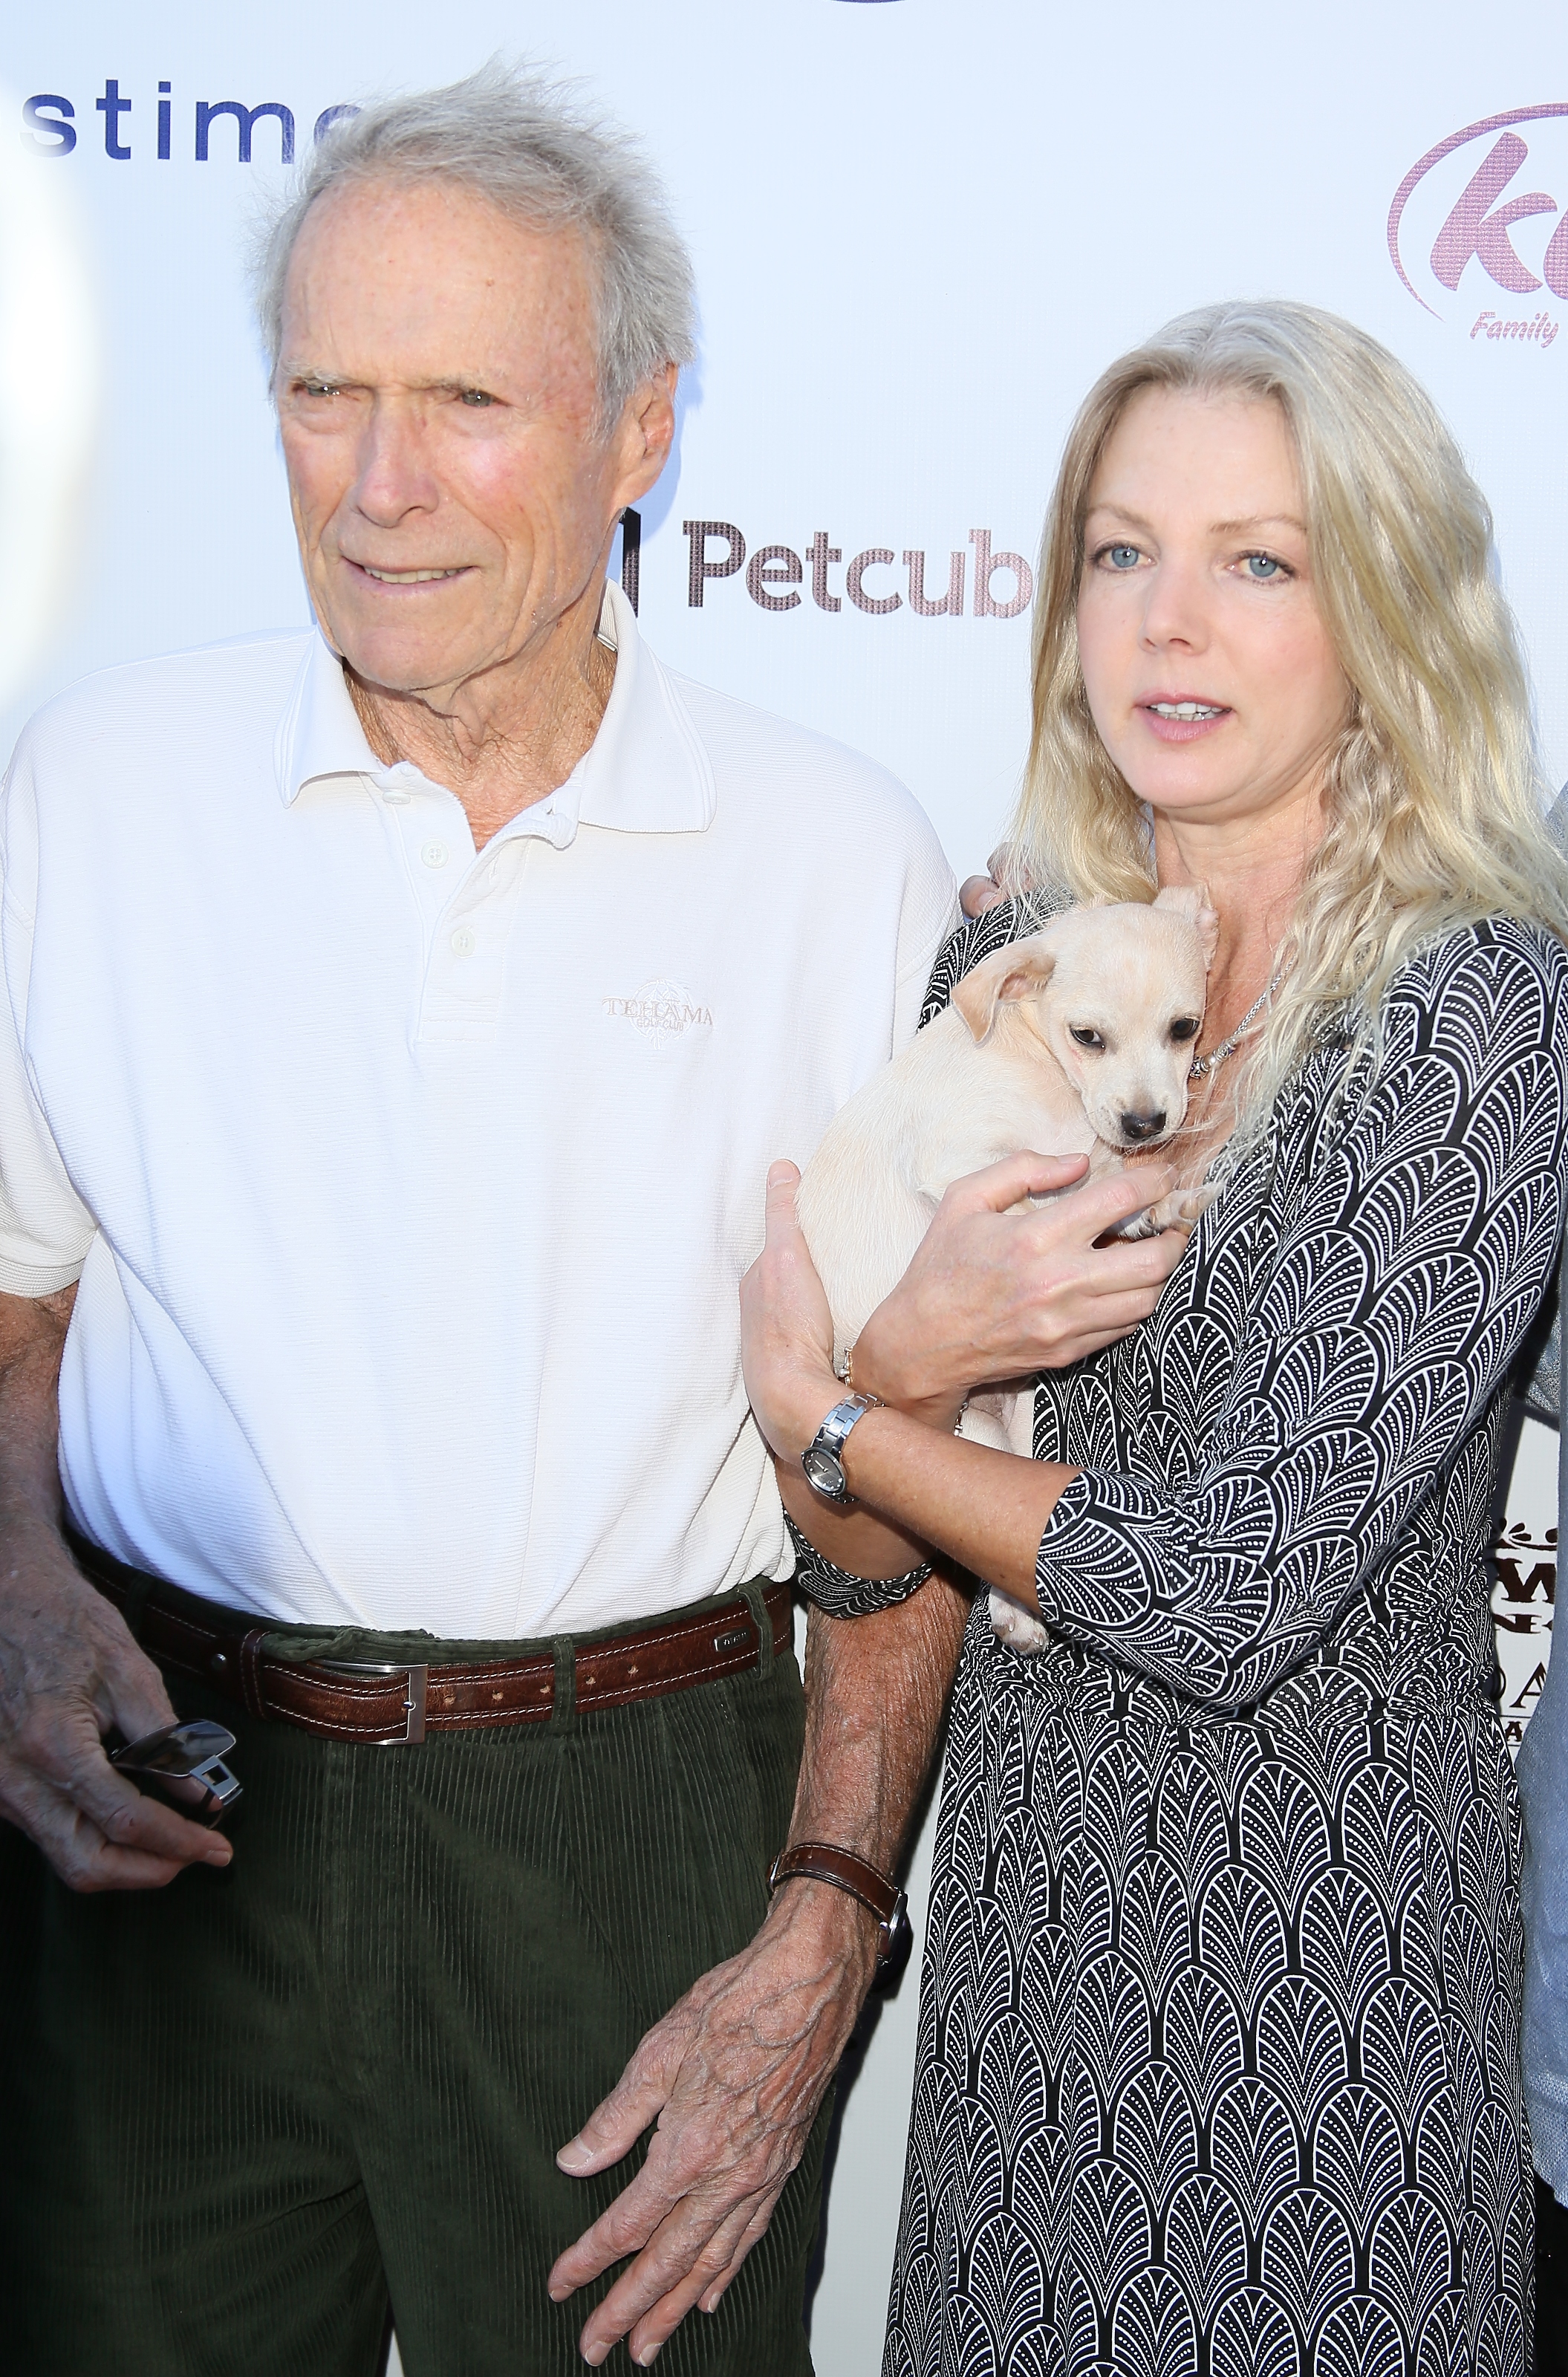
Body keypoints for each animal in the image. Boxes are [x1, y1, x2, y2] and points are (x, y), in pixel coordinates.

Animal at [788, 894, 1216, 1654]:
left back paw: (1019, 1610)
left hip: (1011, 1424)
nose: (1145, 1124)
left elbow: (1099, 1182)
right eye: (1087, 1036)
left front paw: (1157, 1205)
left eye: (1183, 1028)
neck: (1041, 1063)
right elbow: (1057, 1193)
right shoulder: (964, 1160)